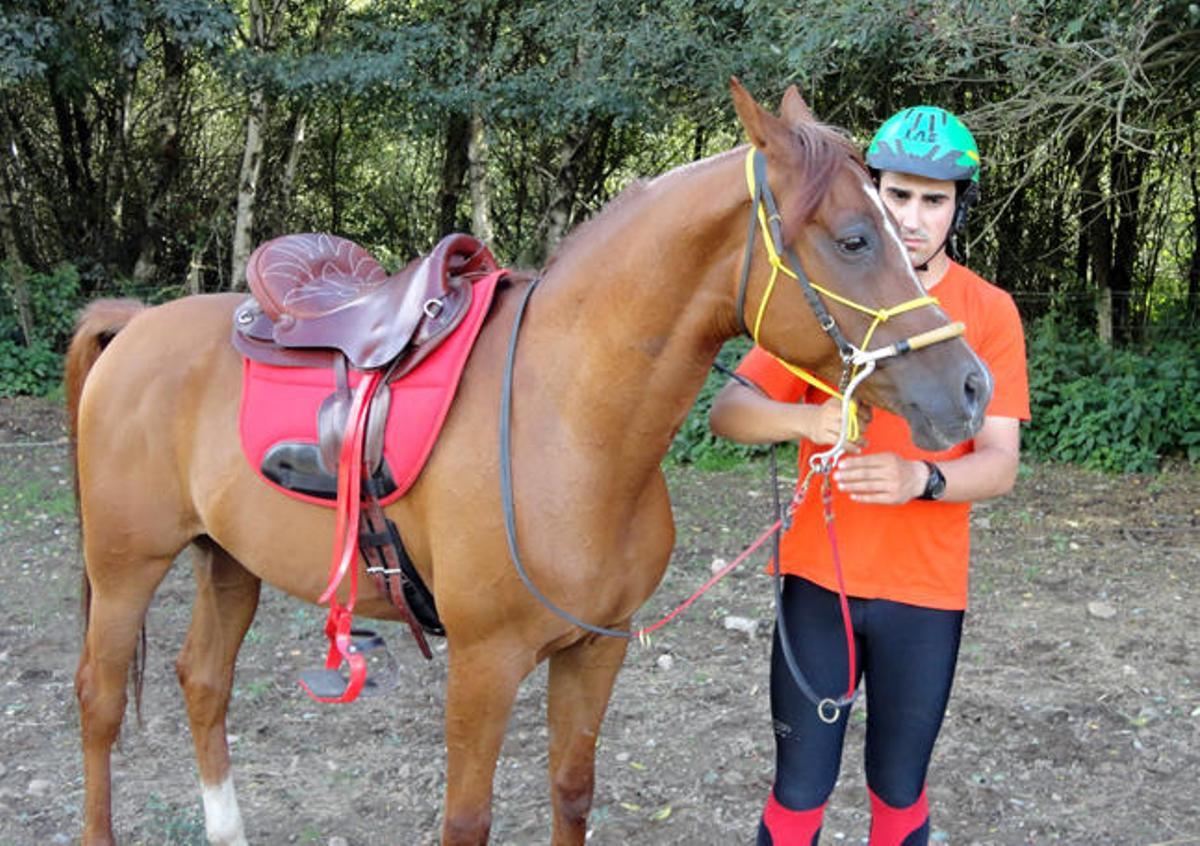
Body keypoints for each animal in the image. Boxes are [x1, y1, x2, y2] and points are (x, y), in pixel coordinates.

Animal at [67, 80, 990, 846]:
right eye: (855, 238)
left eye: (901, 229)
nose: (971, 387)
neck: (567, 425)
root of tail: (137, 323)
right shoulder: (485, 666)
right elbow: (467, 821)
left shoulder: (595, 650)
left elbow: (571, 792)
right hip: (125, 568)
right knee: (100, 703)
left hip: (227, 560)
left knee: (203, 682)